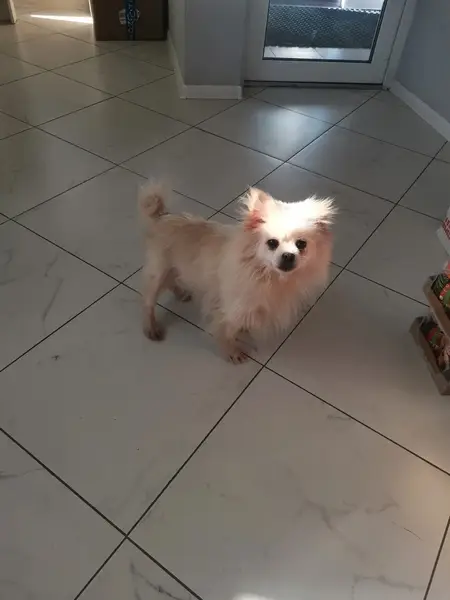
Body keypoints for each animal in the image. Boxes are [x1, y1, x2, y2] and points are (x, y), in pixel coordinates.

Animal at [139, 184, 334, 363]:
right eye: (272, 243)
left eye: (301, 244)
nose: (288, 256)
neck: (268, 275)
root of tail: (161, 218)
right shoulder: (231, 308)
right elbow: (227, 332)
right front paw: (232, 351)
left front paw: (244, 330)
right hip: (158, 270)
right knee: (148, 301)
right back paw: (151, 327)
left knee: (171, 280)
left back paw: (181, 293)